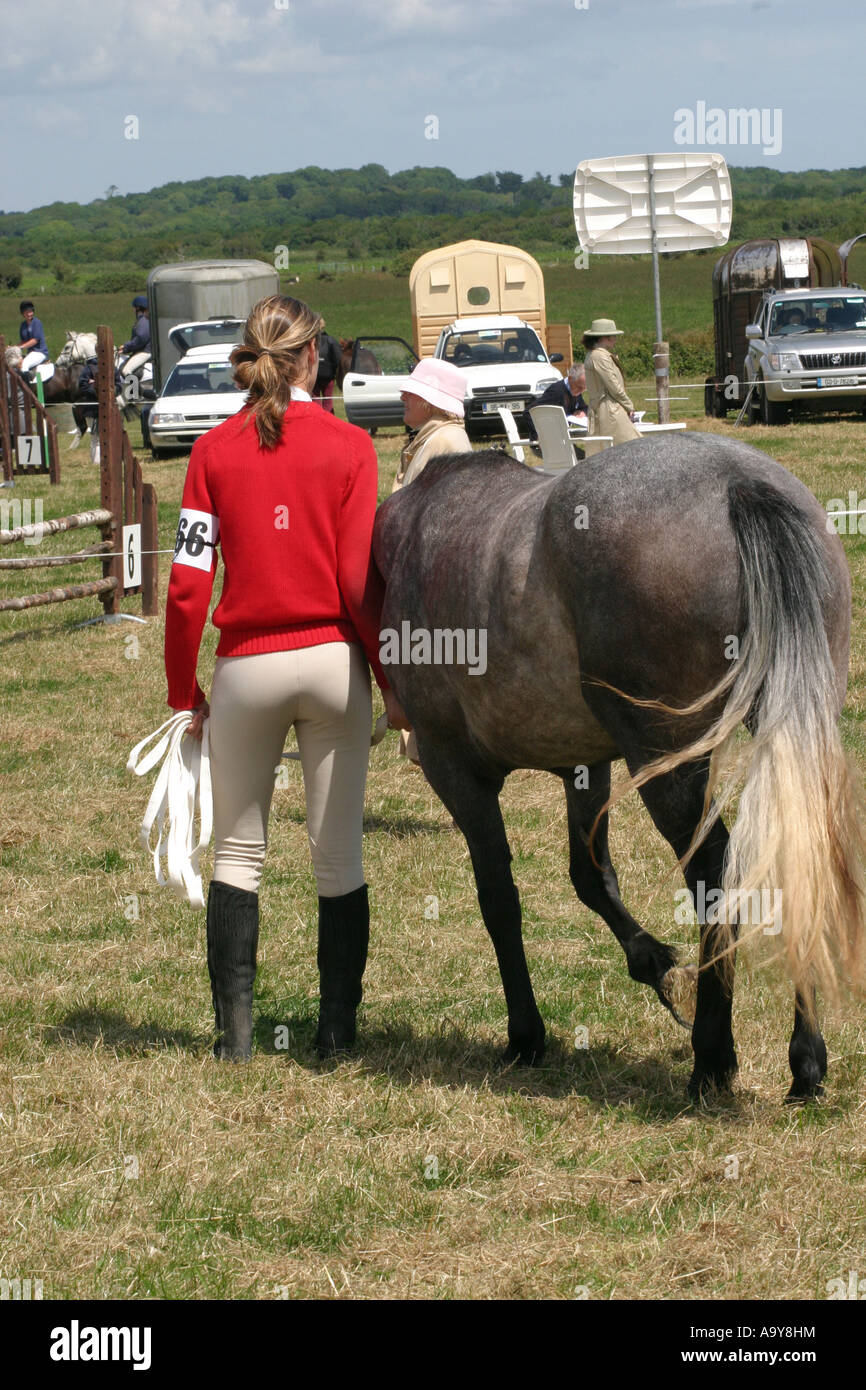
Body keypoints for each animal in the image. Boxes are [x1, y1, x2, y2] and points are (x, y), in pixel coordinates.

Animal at [373, 433, 866, 1103]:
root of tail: (737, 481)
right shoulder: (586, 767)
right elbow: (590, 876)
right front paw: (651, 962)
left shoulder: (454, 771)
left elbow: (498, 898)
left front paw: (526, 1036)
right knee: (798, 847)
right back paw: (805, 1060)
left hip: (665, 764)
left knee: (714, 872)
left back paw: (713, 1058)